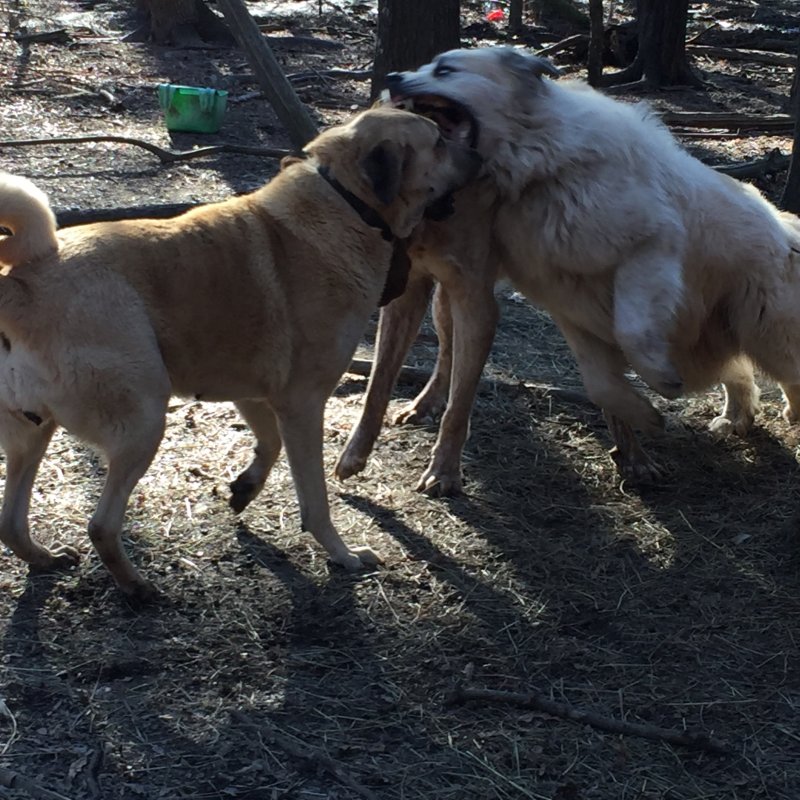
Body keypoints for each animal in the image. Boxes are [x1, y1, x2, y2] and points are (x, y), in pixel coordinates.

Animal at [0, 106, 478, 596]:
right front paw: (343, 556)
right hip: (143, 421)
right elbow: (316, 501)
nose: (479, 154)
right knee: (101, 525)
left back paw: (47, 558)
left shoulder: (251, 393)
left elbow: (268, 444)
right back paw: (138, 587)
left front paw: (246, 488)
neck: (347, 204)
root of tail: (19, 286)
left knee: (11, 523)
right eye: (439, 141)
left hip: (33, 435)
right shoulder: (303, 405)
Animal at [334, 47, 800, 494]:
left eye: (445, 70)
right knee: (739, 371)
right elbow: (600, 384)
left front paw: (659, 384)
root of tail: (784, 225)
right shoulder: (568, 305)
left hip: (763, 330)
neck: (538, 166)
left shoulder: (650, 247)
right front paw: (645, 414)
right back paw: (735, 418)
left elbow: (633, 334)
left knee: (780, 372)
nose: (392, 77)